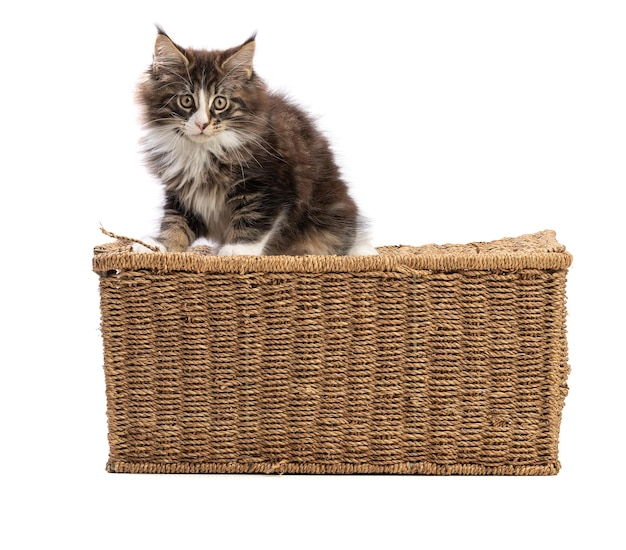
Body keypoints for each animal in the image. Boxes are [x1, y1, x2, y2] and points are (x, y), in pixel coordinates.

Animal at [133, 28, 372, 256]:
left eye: (219, 102)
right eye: (186, 100)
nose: (202, 124)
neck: (203, 151)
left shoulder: (266, 185)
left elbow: (253, 218)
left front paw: (238, 249)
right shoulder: (182, 195)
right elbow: (175, 223)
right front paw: (159, 246)